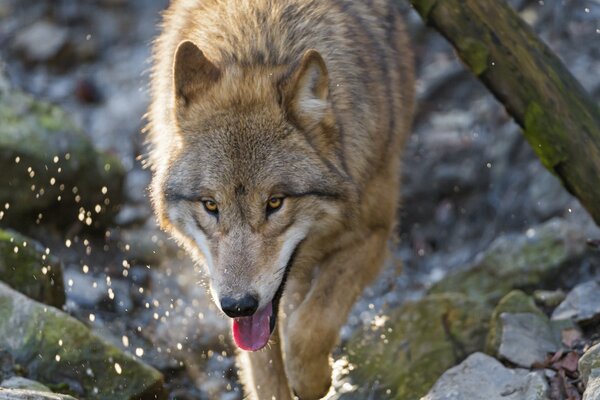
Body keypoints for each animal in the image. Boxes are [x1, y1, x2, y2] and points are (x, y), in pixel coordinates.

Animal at [148, 0, 414, 396]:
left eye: (275, 203)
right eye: (211, 205)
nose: (238, 306)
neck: (258, 48)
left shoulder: (373, 235)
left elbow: (310, 326)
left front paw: (314, 380)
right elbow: (266, 372)